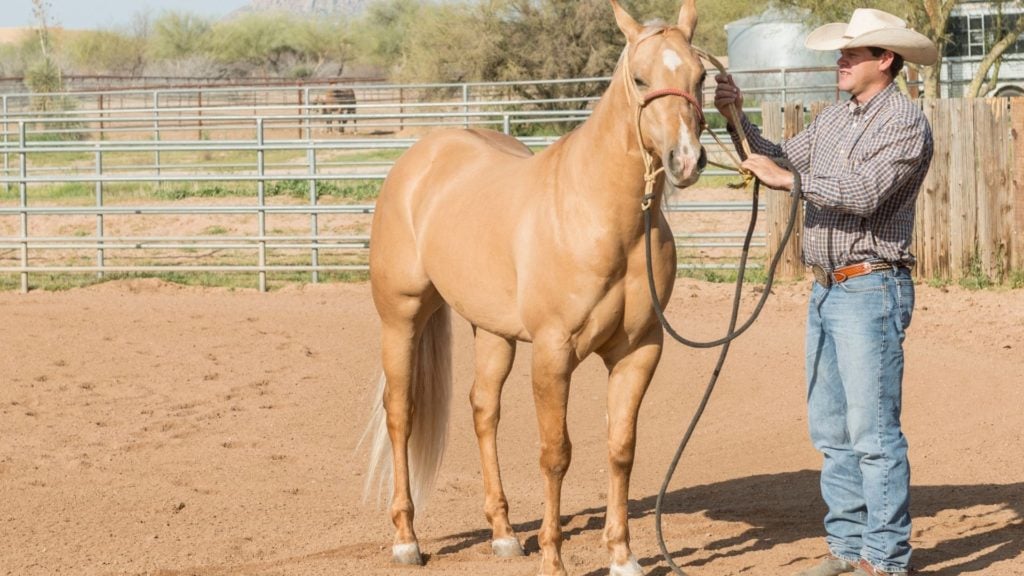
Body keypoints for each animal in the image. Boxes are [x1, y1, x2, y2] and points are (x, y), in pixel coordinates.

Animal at [364, 2, 708, 569]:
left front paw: (623, 557)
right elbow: (555, 454)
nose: (686, 159)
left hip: (493, 331)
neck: (603, 216)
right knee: (401, 414)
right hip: (401, 315)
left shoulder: (639, 350)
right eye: (640, 79)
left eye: (701, 77)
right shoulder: (553, 352)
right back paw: (406, 541)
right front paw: (554, 558)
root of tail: (420, 158)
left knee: (484, 410)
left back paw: (504, 534)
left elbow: (621, 448)